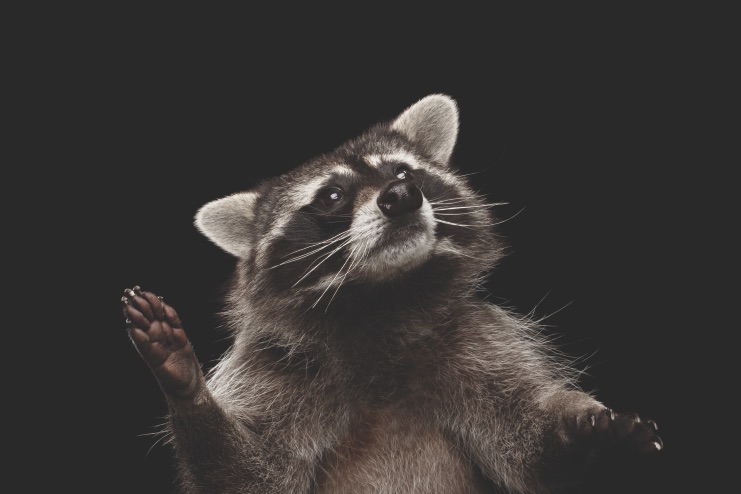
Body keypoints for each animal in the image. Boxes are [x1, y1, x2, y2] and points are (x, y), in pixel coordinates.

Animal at [120, 94, 660, 492]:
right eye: (332, 195)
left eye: (403, 172)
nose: (401, 196)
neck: (382, 300)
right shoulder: (275, 369)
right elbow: (248, 476)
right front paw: (188, 388)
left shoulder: (480, 342)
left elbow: (534, 455)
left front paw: (586, 437)